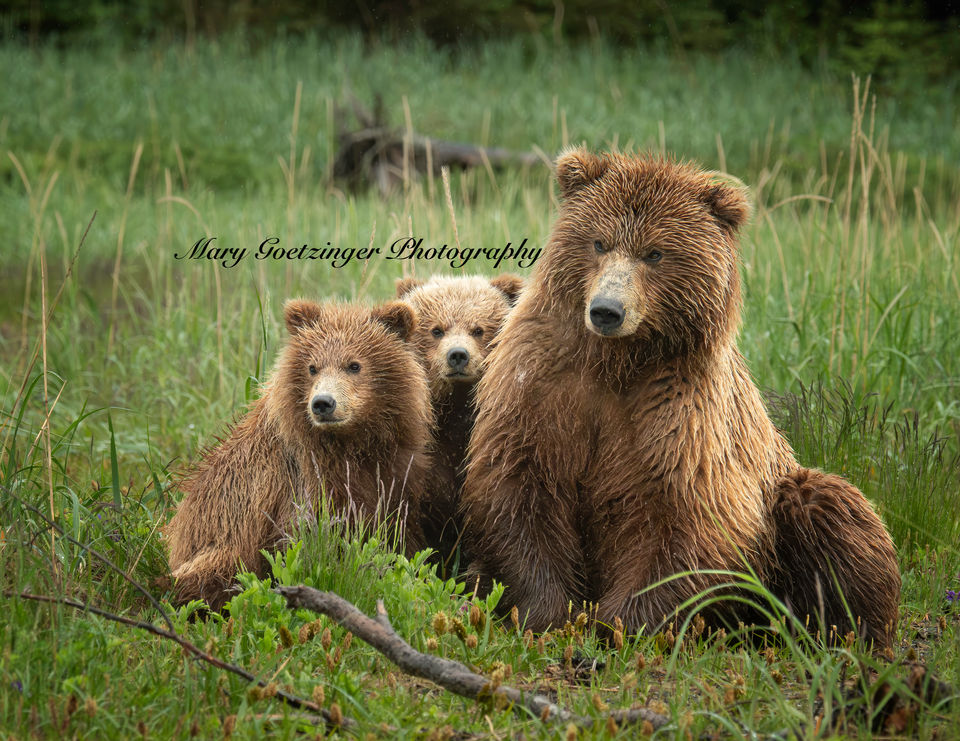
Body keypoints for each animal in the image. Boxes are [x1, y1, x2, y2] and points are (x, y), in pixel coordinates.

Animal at [164, 299, 432, 610]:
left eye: (354, 365)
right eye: (312, 367)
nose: (323, 403)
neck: (351, 443)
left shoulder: (392, 472)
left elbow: (398, 531)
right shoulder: (304, 481)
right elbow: (307, 541)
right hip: (216, 549)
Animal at [460, 149, 900, 648]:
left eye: (654, 252)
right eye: (598, 242)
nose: (607, 310)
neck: (616, 362)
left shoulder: (681, 415)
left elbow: (689, 522)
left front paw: (621, 624)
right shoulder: (543, 388)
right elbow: (519, 487)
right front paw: (547, 612)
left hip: (784, 492)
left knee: (831, 509)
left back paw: (844, 633)